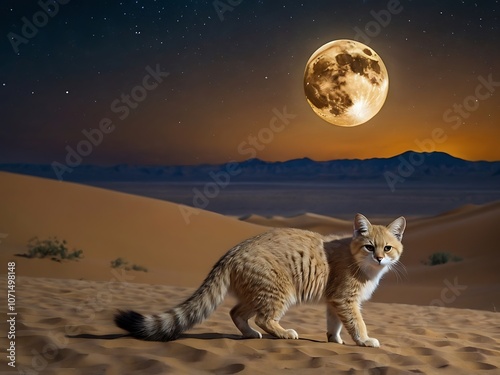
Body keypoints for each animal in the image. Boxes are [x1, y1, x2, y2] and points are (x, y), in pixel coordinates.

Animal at [116, 213, 406, 348]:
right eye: (369, 247)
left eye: (387, 248)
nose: (380, 258)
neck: (359, 261)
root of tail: (232, 251)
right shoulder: (345, 299)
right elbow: (357, 323)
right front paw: (364, 340)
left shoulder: (334, 300)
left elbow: (334, 324)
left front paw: (334, 340)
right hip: (280, 290)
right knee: (263, 318)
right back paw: (283, 333)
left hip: (256, 292)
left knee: (236, 312)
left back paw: (249, 334)